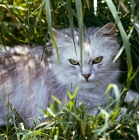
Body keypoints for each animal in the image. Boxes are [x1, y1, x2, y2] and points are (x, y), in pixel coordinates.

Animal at [0, 22, 138, 126]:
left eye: (97, 60)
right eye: (74, 62)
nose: (86, 75)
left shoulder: (114, 87)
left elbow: (130, 95)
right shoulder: (66, 112)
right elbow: (112, 113)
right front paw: (130, 114)